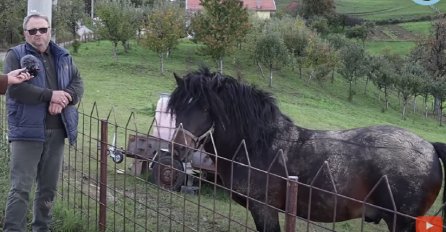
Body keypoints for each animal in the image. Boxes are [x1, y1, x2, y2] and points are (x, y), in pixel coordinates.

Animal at [166, 67, 446, 232]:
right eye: (177, 107)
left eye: (206, 108)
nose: (178, 148)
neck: (260, 146)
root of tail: (429, 147)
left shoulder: (264, 210)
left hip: (403, 223)